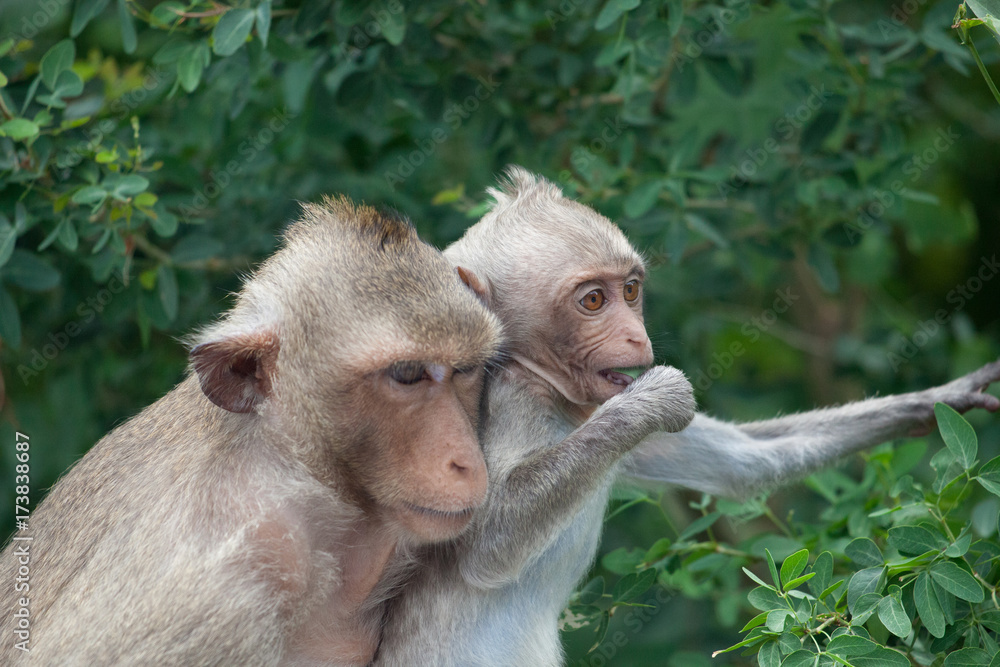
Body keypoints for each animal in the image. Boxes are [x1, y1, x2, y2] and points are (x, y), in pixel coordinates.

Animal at [373, 167, 1000, 667]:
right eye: (593, 300)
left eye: (630, 290)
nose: (636, 334)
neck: (544, 385)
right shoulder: (506, 402)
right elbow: (487, 548)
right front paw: (651, 401)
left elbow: (741, 465)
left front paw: (942, 398)